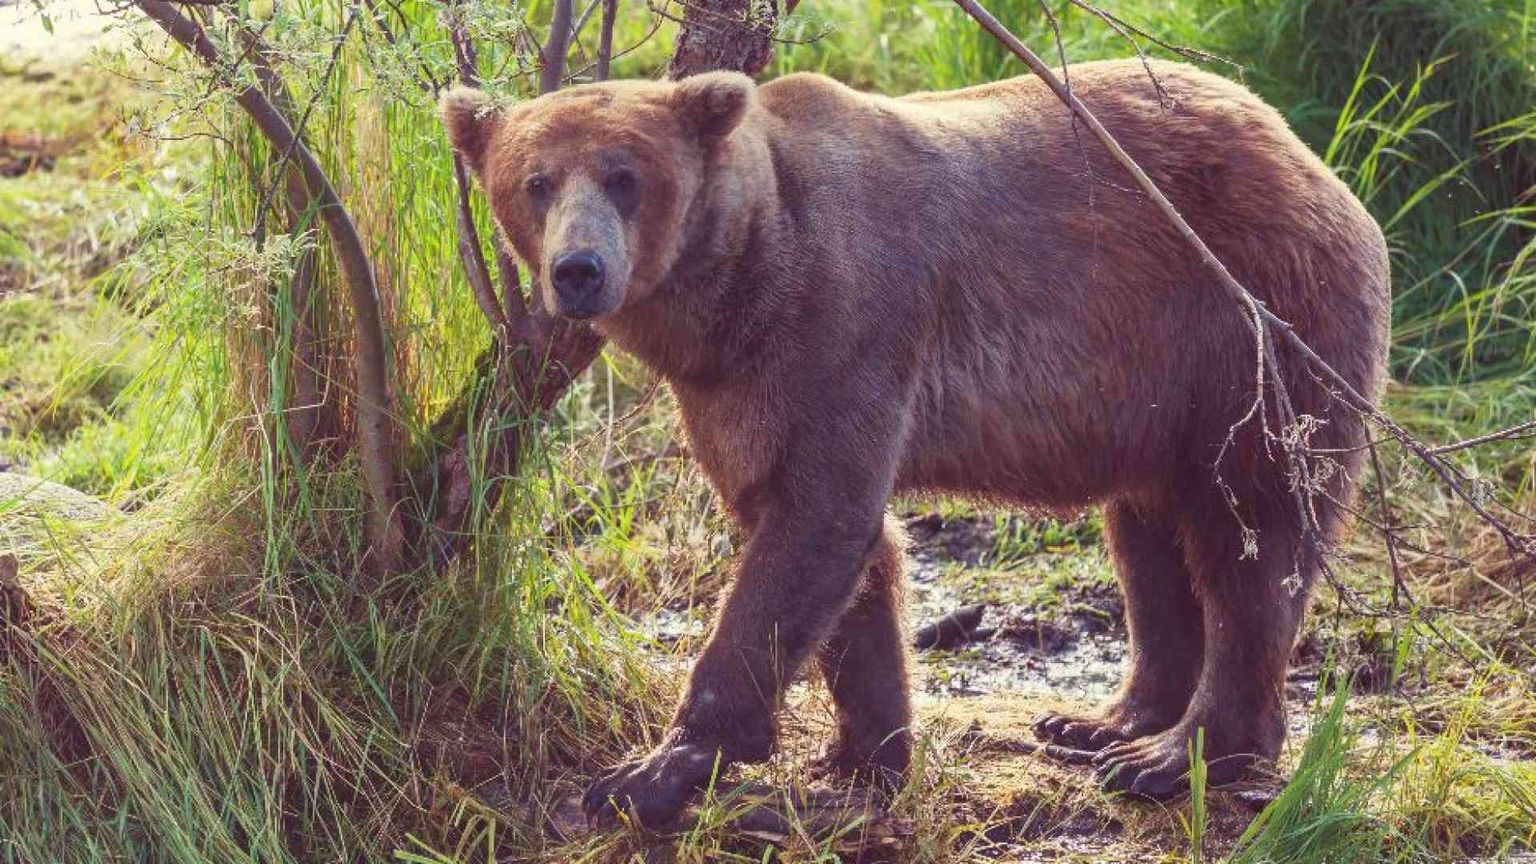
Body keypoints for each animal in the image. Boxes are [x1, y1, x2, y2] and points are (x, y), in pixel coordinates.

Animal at [441, 59, 1390, 828]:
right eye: (534, 181)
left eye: (624, 176)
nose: (578, 270)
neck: (738, 281)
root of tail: (1310, 156)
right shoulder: (733, 390)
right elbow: (832, 546)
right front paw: (864, 756)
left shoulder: (848, 322)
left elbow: (813, 525)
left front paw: (649, 772)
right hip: (1150, 393)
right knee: (1149, 536)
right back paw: (1103, 721)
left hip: (1248, 325)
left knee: (1250, 533)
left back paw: (1175, 755)